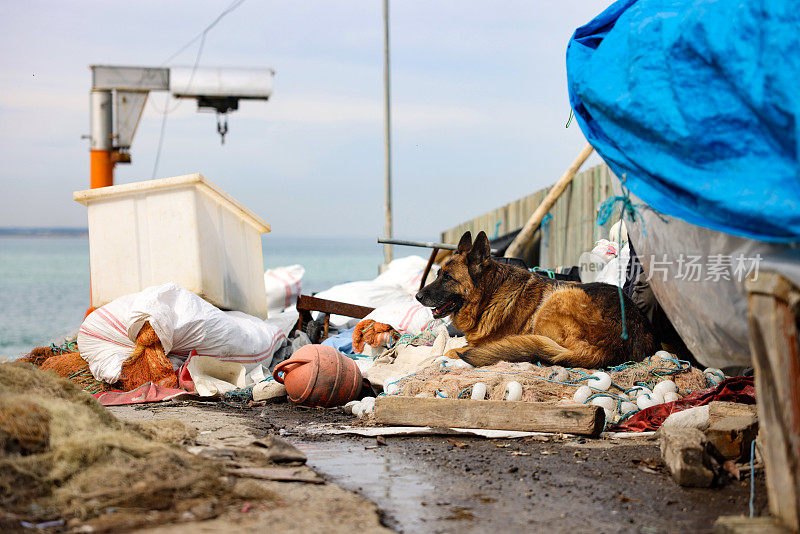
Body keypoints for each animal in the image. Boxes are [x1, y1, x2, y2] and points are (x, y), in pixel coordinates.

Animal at [412, 230, 656, 368]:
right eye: (437, 274)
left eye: (448, 277)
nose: (417, 296)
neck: (489, 297)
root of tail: (612, 346)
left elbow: (449, 349)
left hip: (557, 298)